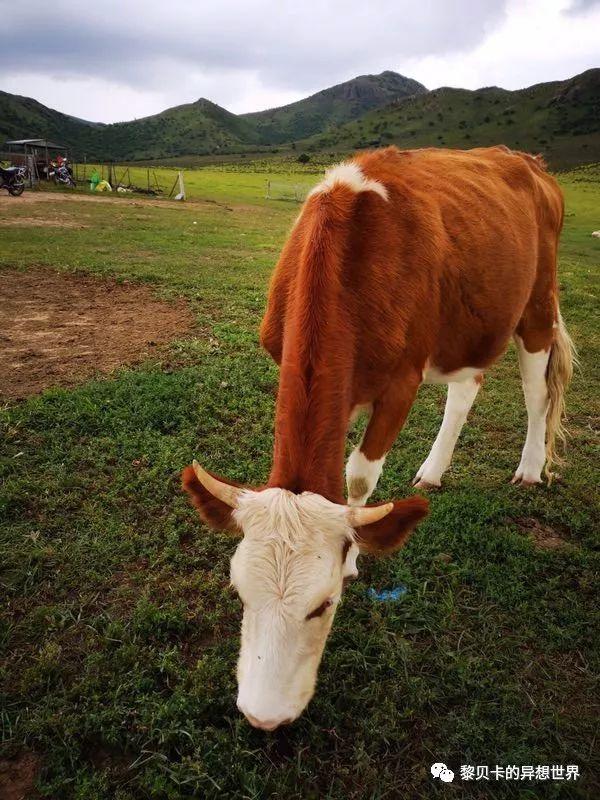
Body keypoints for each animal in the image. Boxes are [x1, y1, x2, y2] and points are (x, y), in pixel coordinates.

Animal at [183, 145, 576, 732]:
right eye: (239, 593)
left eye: (325, 604)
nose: (264, 718)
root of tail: (527, 161)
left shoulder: (401, 383)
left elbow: (360, 475)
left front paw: (354, 553)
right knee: (467, 388)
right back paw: (434, 470)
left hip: (536, 304)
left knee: (536, 390)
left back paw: (530, 469)